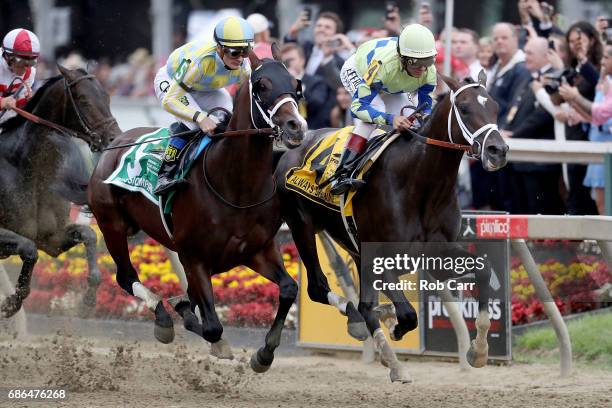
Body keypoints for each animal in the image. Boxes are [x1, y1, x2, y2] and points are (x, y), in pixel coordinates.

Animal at [0, 65, 120, 318]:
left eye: (107, 96)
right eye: (83, 99)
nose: (114, 139)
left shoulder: (50, 238)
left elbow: (89, 235)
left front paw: (88, 300)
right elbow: (29, 249)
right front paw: (10, 303)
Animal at [88, 48, 308, 372]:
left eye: (296, 85)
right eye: (262, 86)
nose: (296, 126)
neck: (235, 186)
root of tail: (114, 144)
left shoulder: (257, 250)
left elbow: (289, 289)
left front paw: (264, 354)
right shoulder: (194, 257)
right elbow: (212, 326)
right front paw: (189, 318)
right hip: (111, 225)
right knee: (126, 277)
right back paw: (162, 317)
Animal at [274, 71, 510, 382]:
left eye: (495, 107)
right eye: (465, 107)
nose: (498, 151)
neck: (421, 181)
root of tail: (290, 149)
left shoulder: (437, 252)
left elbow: (483, 269)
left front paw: (479, 351)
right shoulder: (382, 258)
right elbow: (408, 314)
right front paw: (396, 327)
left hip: (353, 245)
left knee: (364, 304)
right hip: (302, 226)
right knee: (319, 288)